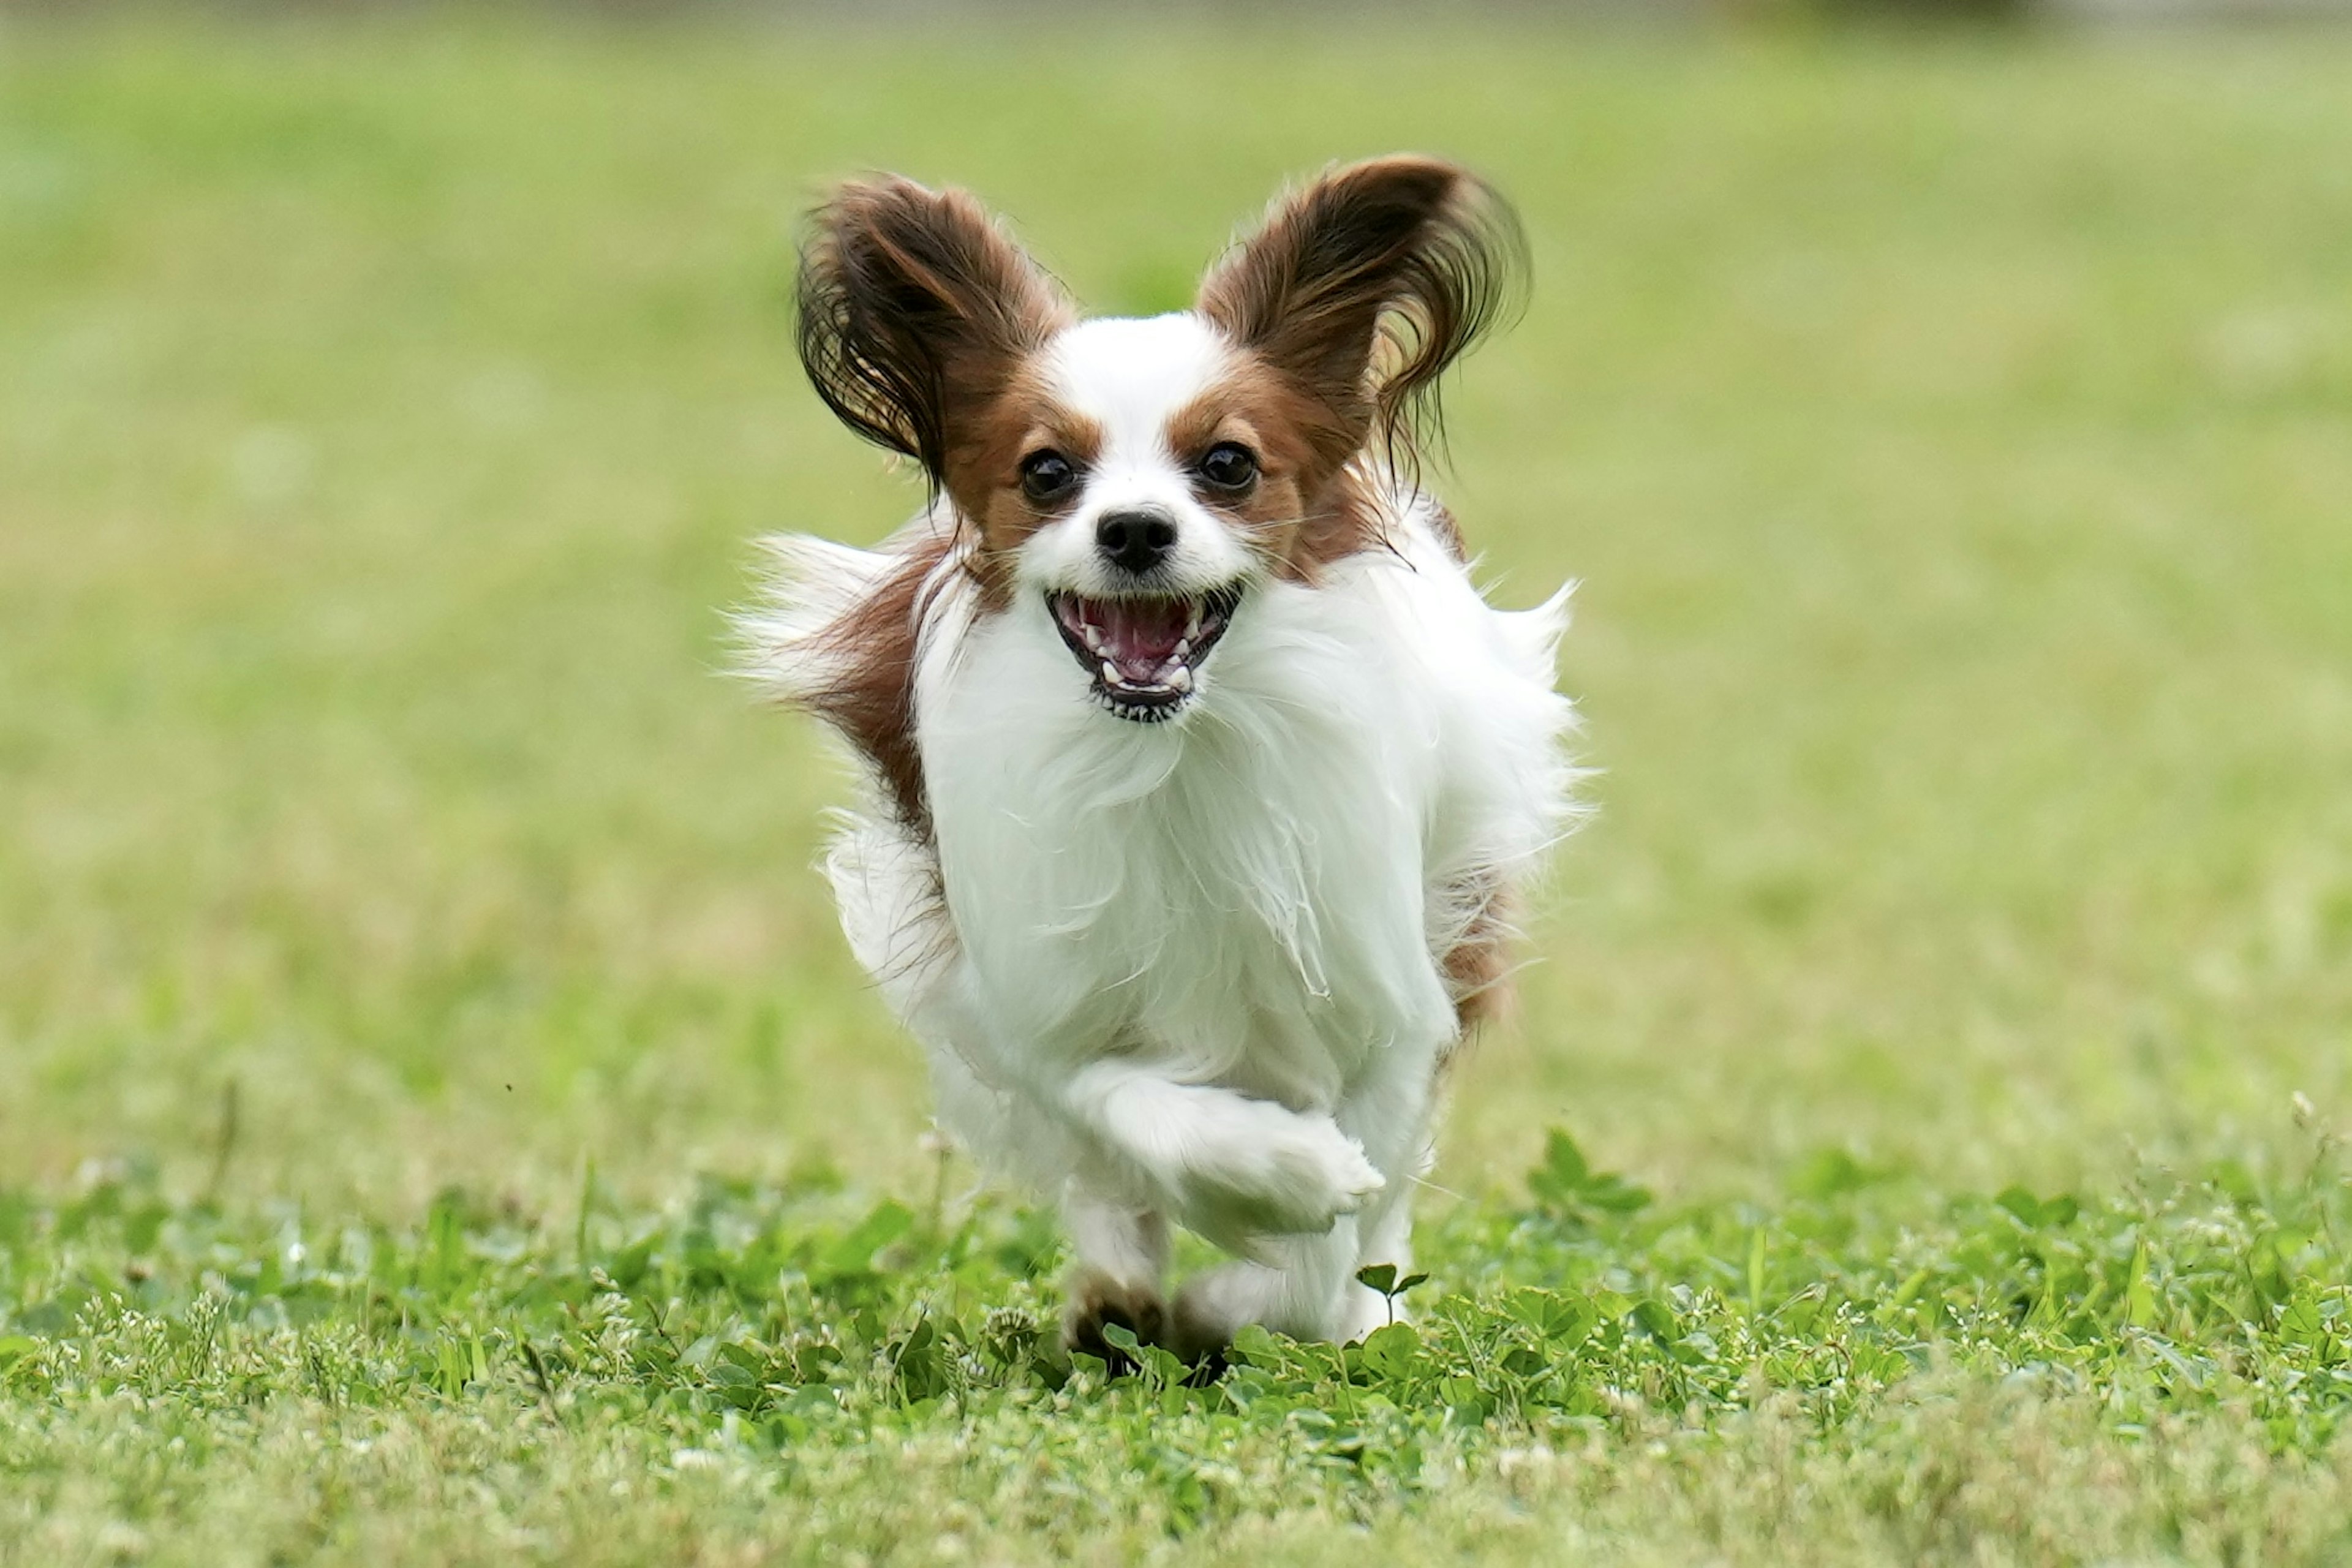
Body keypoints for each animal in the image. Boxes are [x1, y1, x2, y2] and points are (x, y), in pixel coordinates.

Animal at [734, 156, 1580, 1363]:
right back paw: (1120, 1305)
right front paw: (1280, 1176)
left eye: (1227, 465)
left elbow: (1340, 1238)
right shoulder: (1038, 995)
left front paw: (1265, 1299)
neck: (1180, 750)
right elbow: (1133, 1109)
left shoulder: (1394, 998)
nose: (1134, 530)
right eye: (1048, 473)